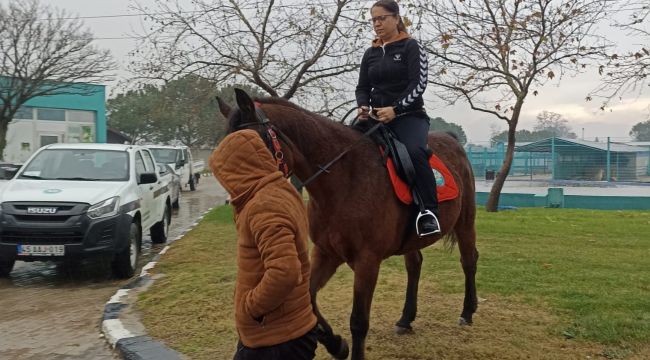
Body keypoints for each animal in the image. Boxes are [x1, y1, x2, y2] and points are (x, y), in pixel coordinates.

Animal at [218, 88, 476, 360]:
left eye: (248, 146)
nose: (238, 203)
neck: (345, 177)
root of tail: (452, 141)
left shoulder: (367, 262)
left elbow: (359, 321)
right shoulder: (325, 253)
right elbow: (309, 298)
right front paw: (335, 343)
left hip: (465, 221)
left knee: (469, 260)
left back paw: (467, 312)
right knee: (415, 265)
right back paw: (406, 319)